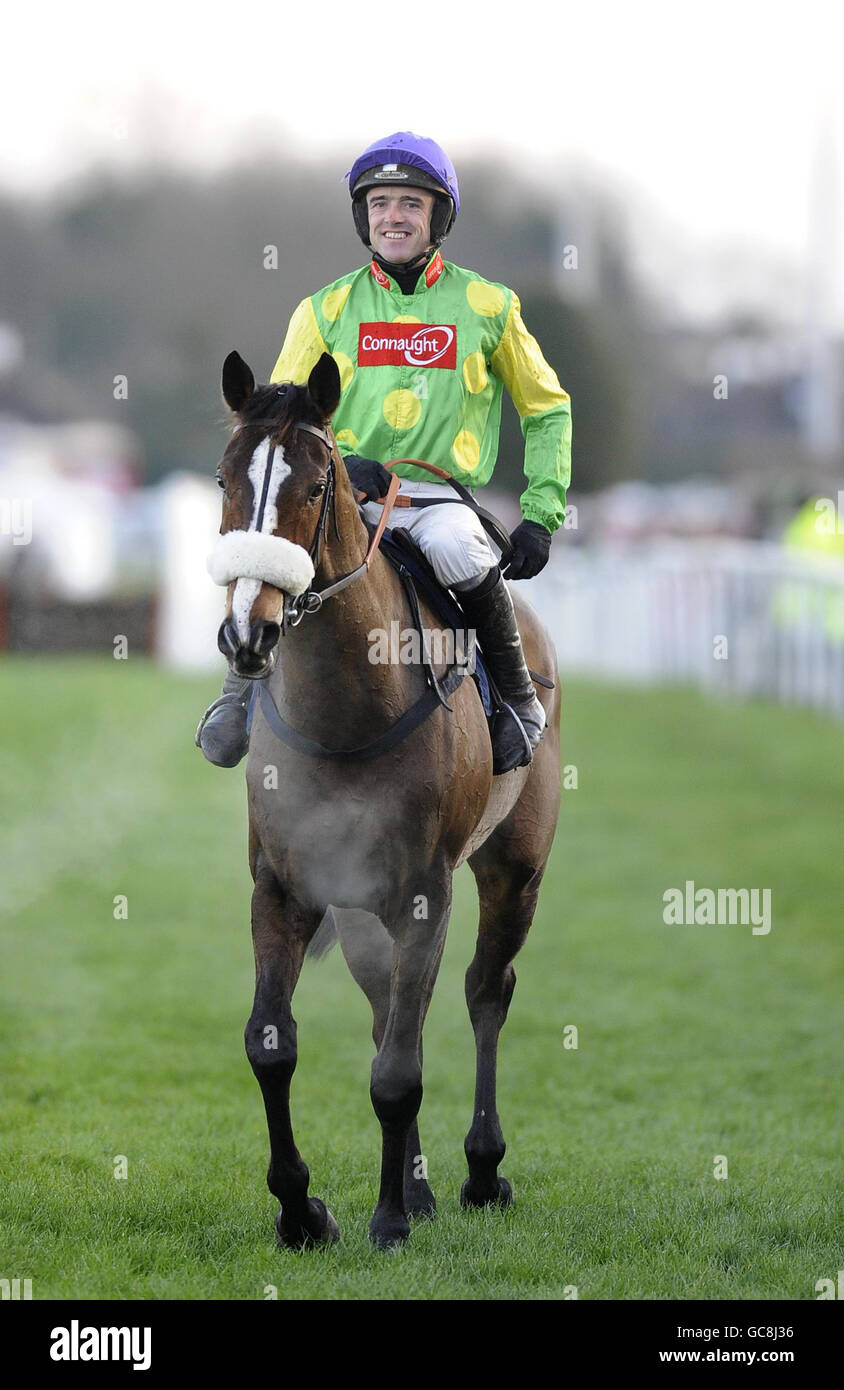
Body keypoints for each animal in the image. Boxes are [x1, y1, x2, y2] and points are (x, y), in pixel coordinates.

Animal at [205, 347, 561, 1251]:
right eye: (226, 478)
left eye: (315, 485)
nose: (248, 633)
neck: (345, 714)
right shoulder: (283, 885)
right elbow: (272, 1044)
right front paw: (303, 1209)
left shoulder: (425, 891)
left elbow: (400, 1071)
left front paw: (391, 1217)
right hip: (361, 903)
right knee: (387, 1006)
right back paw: (425, 1181)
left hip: (515, 867)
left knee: (484, 992)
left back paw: (478, 1172)